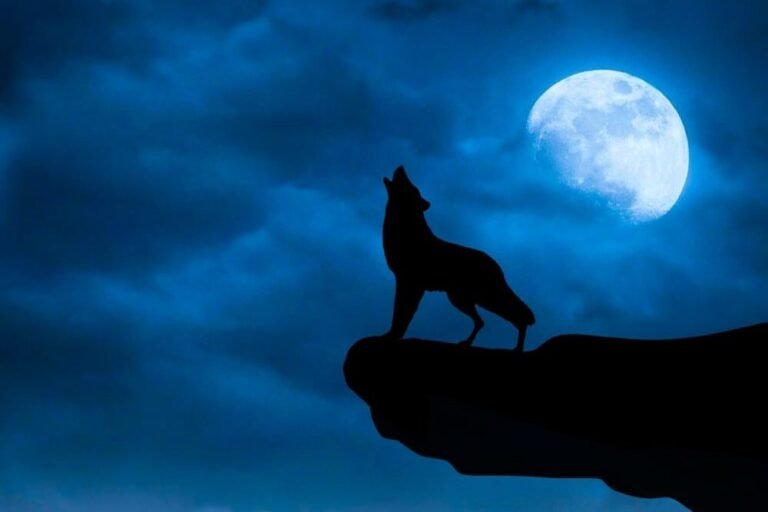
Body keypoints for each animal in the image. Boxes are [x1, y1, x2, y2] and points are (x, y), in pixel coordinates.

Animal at [382, 165, 535, 351]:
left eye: (411, 186)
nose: (401, 167)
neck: (405, 228)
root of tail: (496, 265)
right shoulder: (404, 281)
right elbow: (398, 314)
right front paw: (390, 335)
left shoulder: (411, 283)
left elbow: (402, 314)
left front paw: (393, 337)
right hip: (461, 299)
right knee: (482, 321)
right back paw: (467, 343)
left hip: (481, 298)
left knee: (516, 316)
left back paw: (518, 348)